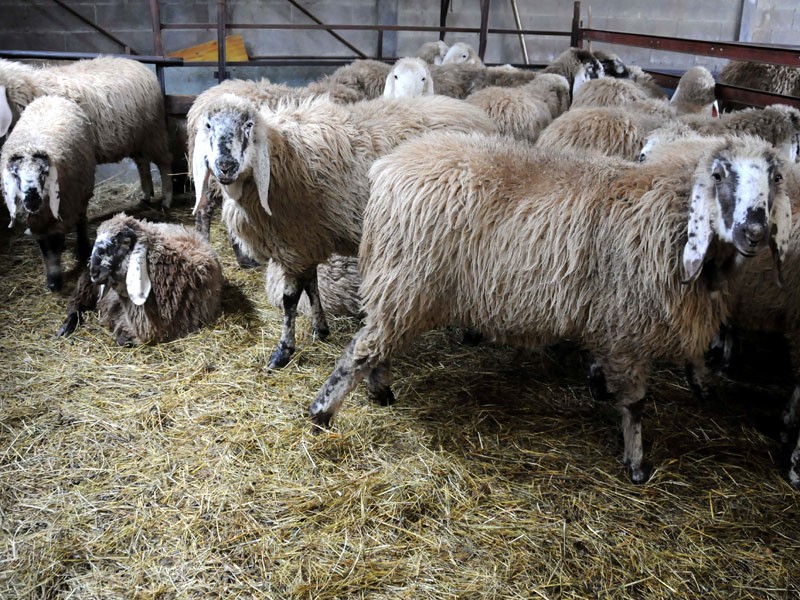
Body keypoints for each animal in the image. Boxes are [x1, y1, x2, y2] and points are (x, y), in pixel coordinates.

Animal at [0, 55, 174, 209]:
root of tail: (139, 65)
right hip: (136, 138)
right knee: (142, 163)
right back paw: (146, 196)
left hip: (154, 133)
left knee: (164, 163)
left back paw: (166, 199)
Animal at [1, 95, 94, 292]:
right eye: (16, 176)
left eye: (43, 173)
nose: (32, 200)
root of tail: (50, 97)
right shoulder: (38, 224)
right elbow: (46, 250)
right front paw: (52, 280)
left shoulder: (59, 217)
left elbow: (55, 248)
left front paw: (55, 281)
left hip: (82, 191)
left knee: (81, 217)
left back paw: (83, 247)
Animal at [191, 92, 496, 370]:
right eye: (208, 125)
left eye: (248, 124)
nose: (225, 166)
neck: (281, 154)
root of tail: (479, 118)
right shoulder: (307, 241)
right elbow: (312, 287)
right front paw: (320, 330)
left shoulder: (294, 245)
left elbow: (290, 301)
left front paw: (283, 352)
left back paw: (471, 334)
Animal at [310, 129, 792, 486]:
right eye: (720, 174)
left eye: (775, 178)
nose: (754, 231)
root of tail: (387, 167)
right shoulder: (628, 328)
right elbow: (636, 405)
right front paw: (637, 464)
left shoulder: (615, 323)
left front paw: (603, 388)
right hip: (406, 280)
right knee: (362, 348)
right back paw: (322, 415)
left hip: (400, 286)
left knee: (377, 344)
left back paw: (379, 391)